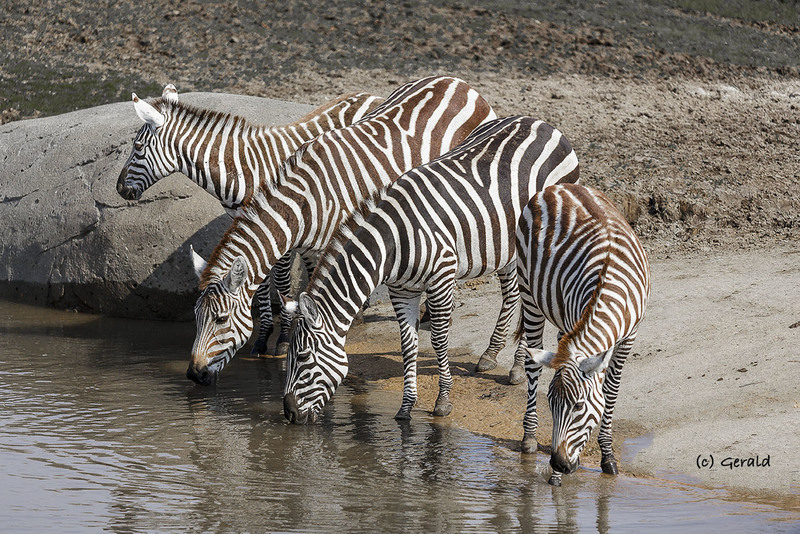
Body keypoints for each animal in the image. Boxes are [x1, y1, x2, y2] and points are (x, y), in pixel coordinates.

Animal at [116, 84, 382, 355]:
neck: (242, 171)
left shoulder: (281, 228)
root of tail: (371, 95)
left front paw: (283, 338)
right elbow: (259, 284)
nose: (119, 189)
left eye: (138, 147)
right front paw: (263, 336)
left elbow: (281, 282)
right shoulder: (251, 225)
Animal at [186, 75, 496, 386]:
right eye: (196, 316)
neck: (305, 200)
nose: (194, 374)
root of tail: (458, 82)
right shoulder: (310, 247)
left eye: (221, 319)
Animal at [281, 116, 580, 425]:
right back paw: (492, 354)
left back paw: (519, 366)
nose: (289, 414)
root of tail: (541, 122)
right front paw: (406, 407)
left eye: (302, 357)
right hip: (506, 246)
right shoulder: (401, 290)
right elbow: (408, 344)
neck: (392, 242)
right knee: (512, 295)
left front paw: (443, 400)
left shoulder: (442, 278)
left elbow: (438, 340)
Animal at [515, 183, 650, 486]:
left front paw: (607, 455)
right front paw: (555, 478)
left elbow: (611, 390)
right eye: (551, 405)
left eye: (578, 406)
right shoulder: (572, 322)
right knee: (532, 364)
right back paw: (529, 437)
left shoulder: (630, 336)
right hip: (528, 292)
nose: (558, 463)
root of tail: (560, 187)